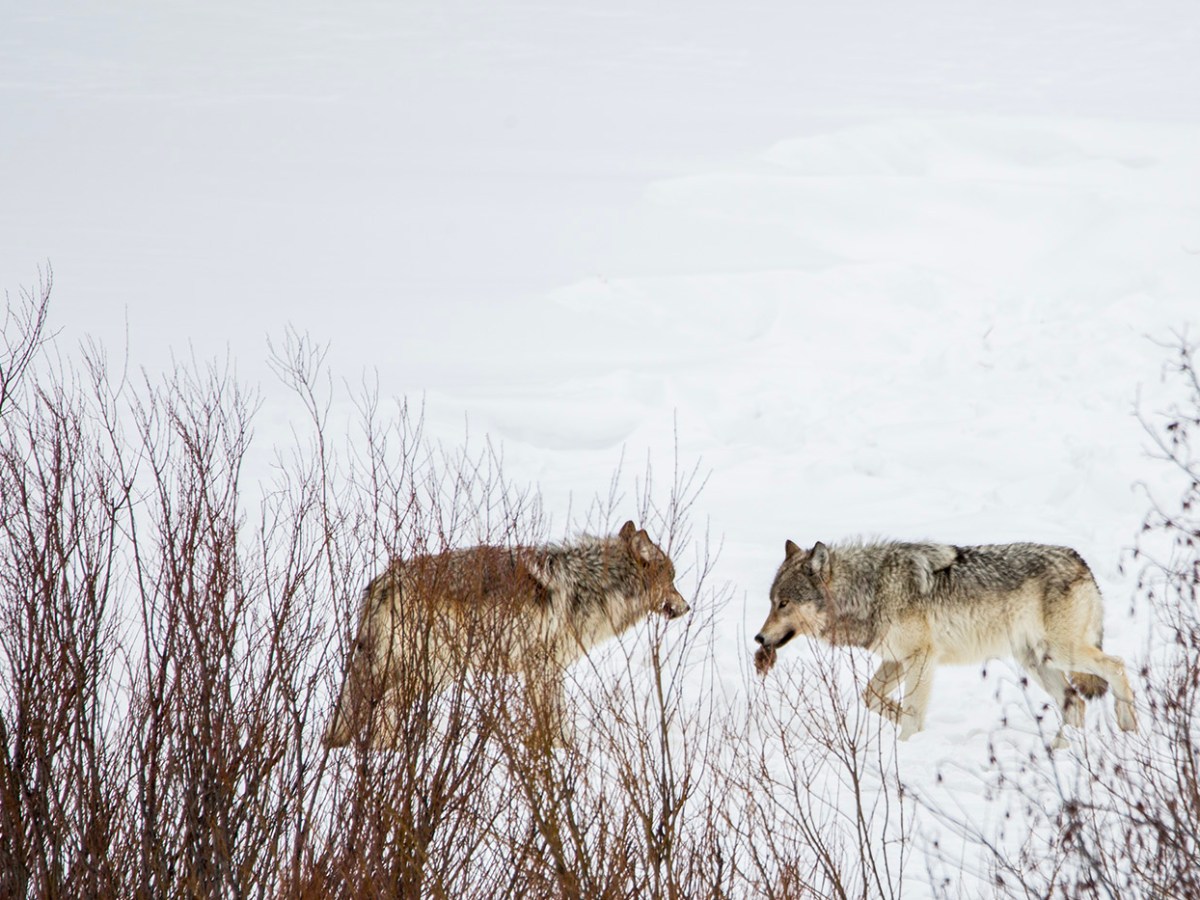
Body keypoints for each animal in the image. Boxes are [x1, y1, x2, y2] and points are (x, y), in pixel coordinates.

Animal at [324, 520, 690, 748]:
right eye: (672, 580)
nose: (688, 607)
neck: (594, 585)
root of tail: (382, 582)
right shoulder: (542, 666)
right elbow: (554, 721)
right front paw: (559, 752)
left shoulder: (543, 669)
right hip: (418, 669)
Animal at [754, 539, 1138, 745]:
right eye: (771, 602)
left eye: (783, 603)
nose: (758, 637)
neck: (870, 589)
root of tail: (1080, 560)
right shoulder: (898, 659)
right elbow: (872, 697)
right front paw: (906, 724)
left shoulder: (921, 658)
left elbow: (911, 712)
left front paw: (907, 745)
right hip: (1037, 661)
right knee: (1077, 704)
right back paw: (1063, 748)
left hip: (1060, 654)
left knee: (1117, 666)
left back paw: (1127, 727)